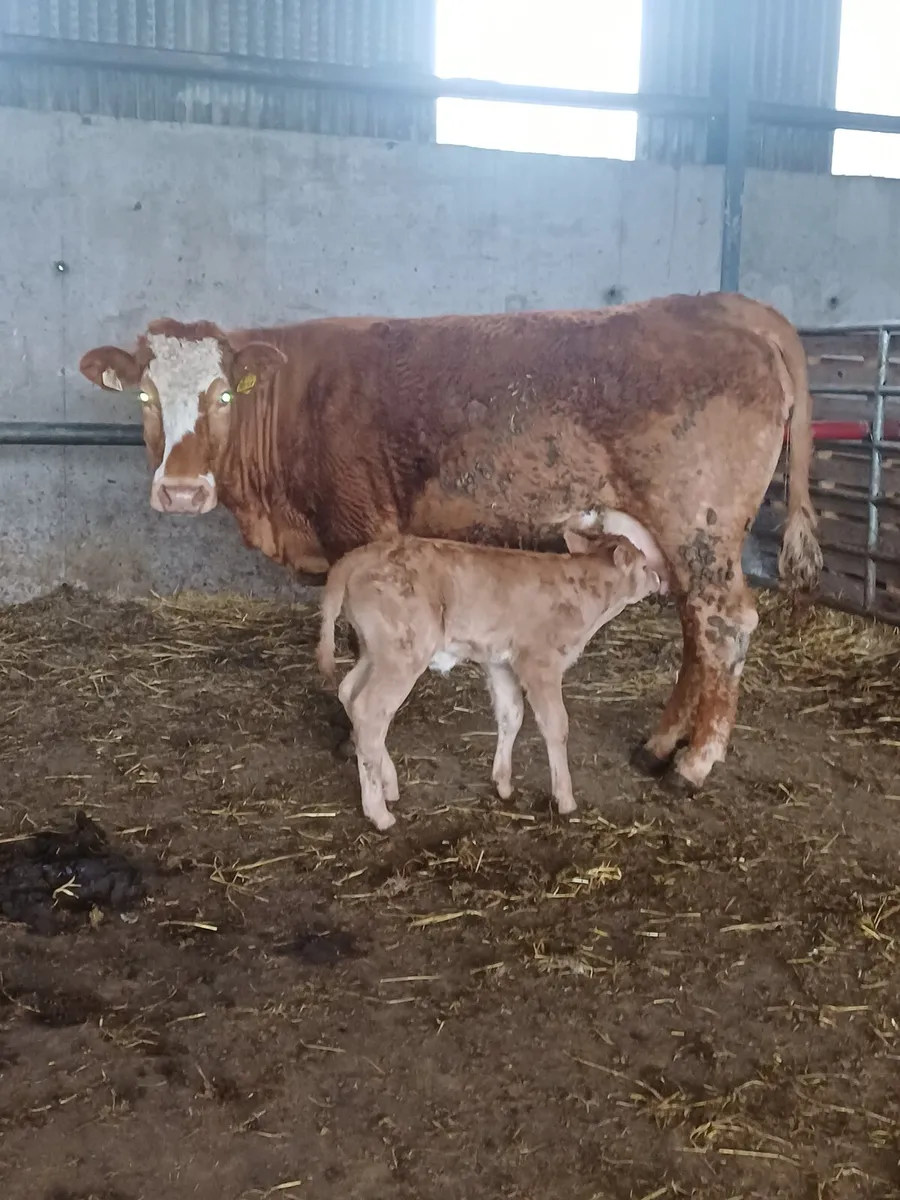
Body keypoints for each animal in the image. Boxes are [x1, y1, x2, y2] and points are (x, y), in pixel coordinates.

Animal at [78, 292, 822, 793]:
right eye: (145, 397)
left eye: (224, 395)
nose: (181, 490)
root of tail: (722, 305)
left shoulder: (362, 532)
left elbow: (357, 641)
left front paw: (354, 735)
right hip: (678, 541)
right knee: (698, 630)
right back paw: (660, 744)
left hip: (699, 524)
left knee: (726, 625)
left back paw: (694, 764)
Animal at [316, 531, 662, 829]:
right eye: (645, 565)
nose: (658, 579)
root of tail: (357, 556)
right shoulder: (540, 663)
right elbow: (556, 726)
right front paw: (564, 798)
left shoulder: (500, 662)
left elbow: (512, 715)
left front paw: (503, 783)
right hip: (402, 653)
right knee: (370, 711)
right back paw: (378, 813)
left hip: (376, 651)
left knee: (350, 693)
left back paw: (388, 784)